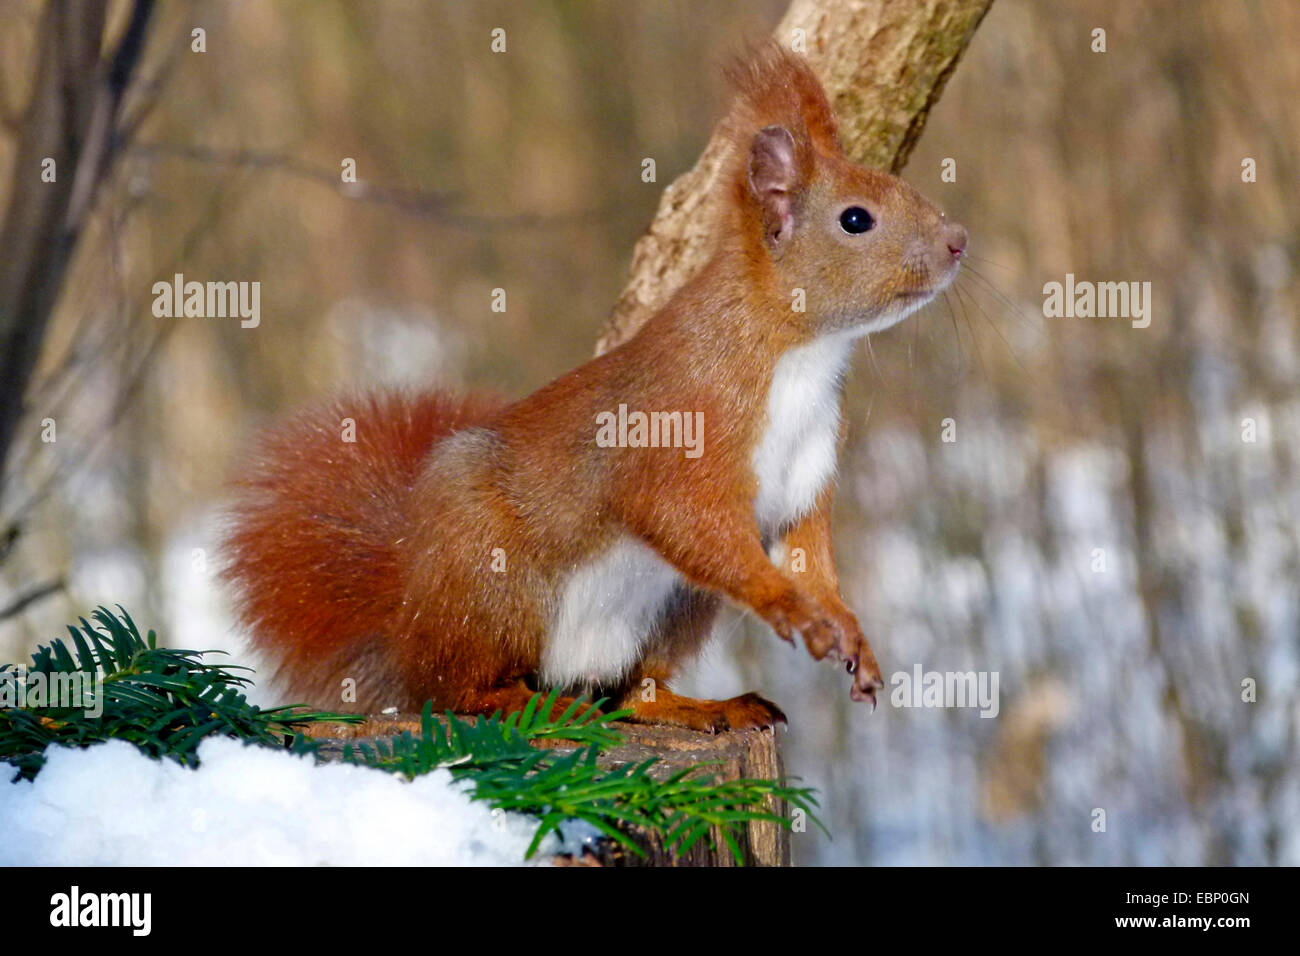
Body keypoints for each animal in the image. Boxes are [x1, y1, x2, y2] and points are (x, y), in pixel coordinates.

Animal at [220, 46, 967, 732]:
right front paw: (790, 609)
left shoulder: (804, 475)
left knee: (633, 693)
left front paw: (850, 634)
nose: (959, 240)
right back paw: (524, 703)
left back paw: (699, 706)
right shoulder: (682, 433)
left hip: (673, 610)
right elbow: (694, 526)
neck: (801, 354)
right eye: (855, 219)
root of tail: (406, 615)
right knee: (456, 689)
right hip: (488, 579)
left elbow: (810, 555)